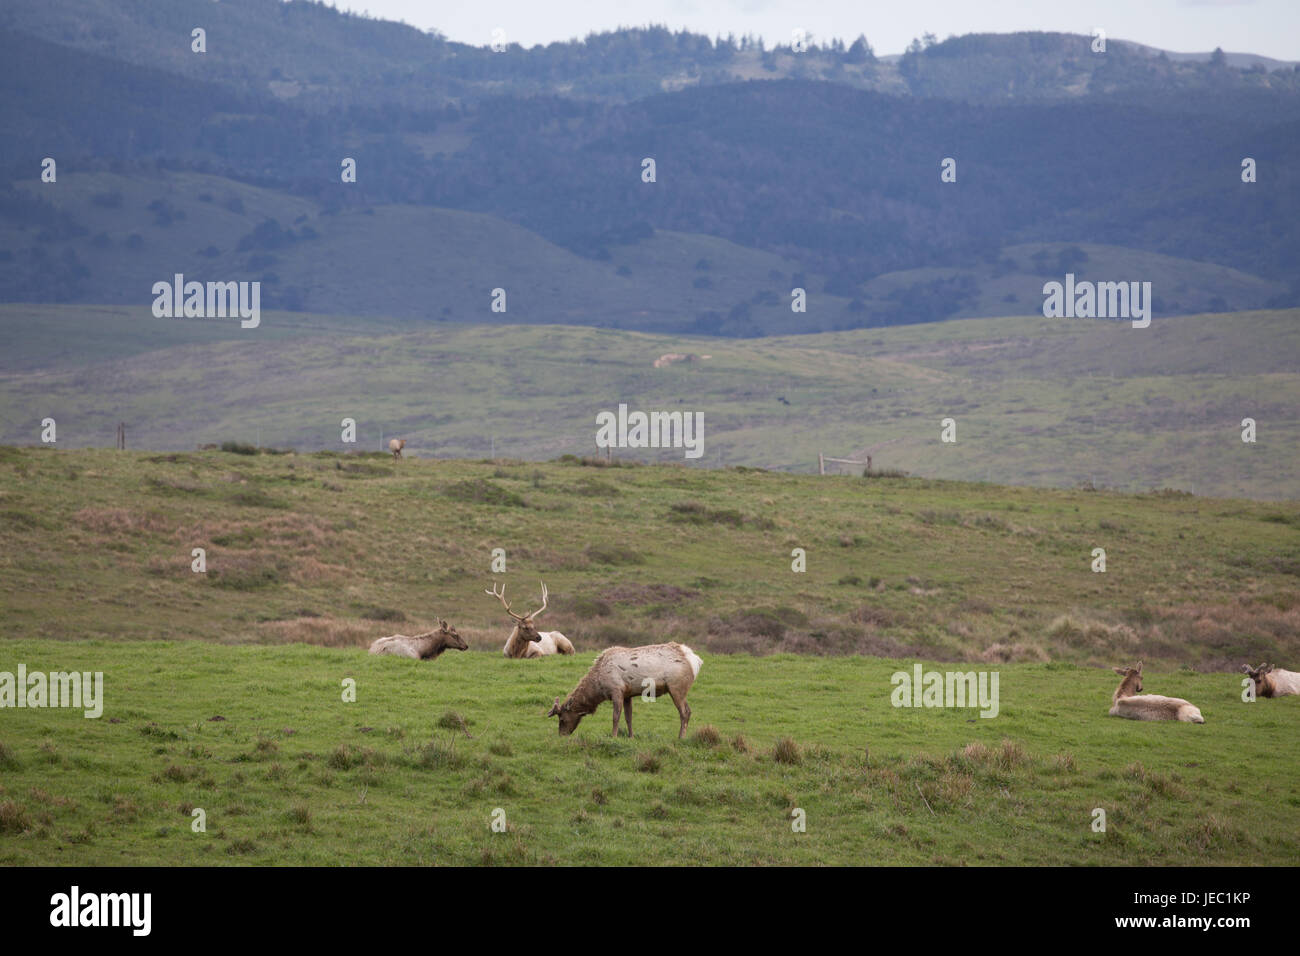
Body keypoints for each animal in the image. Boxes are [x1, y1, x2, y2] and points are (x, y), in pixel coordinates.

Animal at [543, 642, 702, 738]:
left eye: (562, 719)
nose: (561, 735)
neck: (599, 685)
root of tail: (696, 661)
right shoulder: (627, 694)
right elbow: (628, 717)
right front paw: (631, 736)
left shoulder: (616, 690)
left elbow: (615, 716)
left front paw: (614, 736)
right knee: (688, 711)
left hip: (676, 687)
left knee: (684, 712)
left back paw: (681, 737)